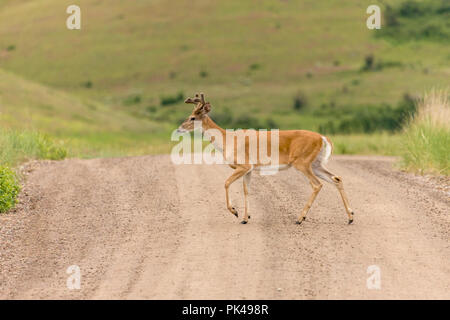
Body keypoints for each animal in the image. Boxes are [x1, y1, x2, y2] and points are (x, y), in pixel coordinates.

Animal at [176, 92, 356, 225]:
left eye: (192, 117)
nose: (178, 129)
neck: (228, 140)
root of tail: (323, 138)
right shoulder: (249, 169)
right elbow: (246, 190)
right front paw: (245, 218)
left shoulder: (243, 165)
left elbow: (226, 183)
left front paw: (235, 212)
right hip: (316, 164)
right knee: (336, 178)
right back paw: (350, 217)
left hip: (302, 162)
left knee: (317, 185)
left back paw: (300, 218)